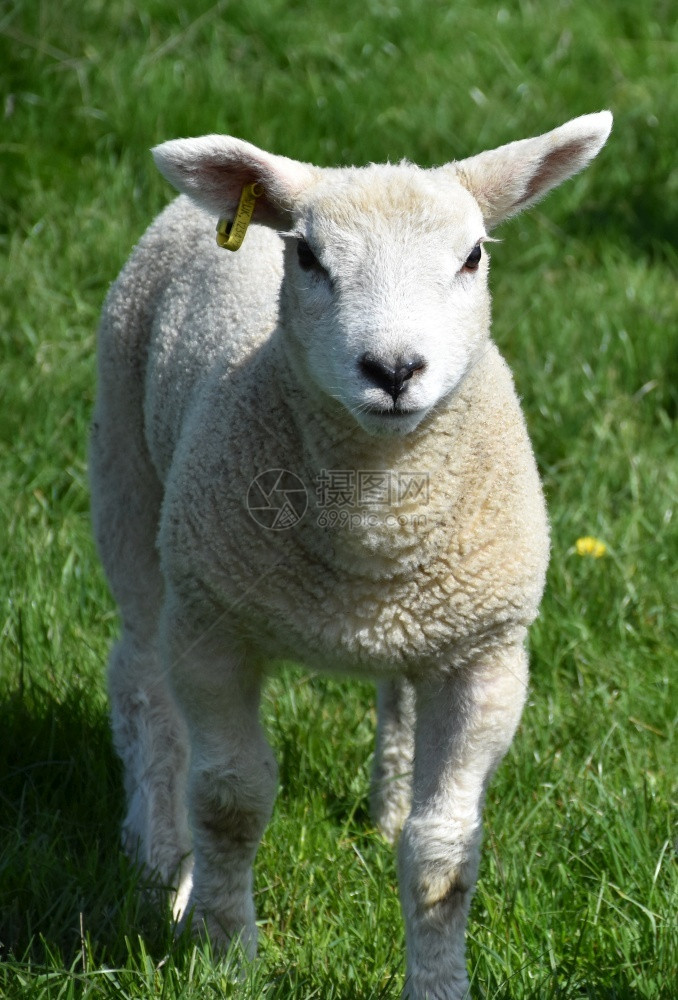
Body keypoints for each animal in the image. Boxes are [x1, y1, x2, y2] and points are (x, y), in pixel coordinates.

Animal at [91, 111, 616, 1000]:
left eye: (472, 256)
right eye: (308, 256)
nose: (394, 369)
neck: (376, 515)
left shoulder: (485, 654)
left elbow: (445, 852)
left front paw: (438, 981)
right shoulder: (212, 628)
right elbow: (230, 801)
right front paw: (227, 957)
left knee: (397, 697)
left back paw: (387, 810)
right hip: (127, 475)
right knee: (140, 680)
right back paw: (160, 859)